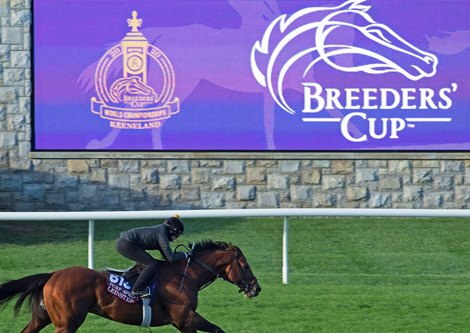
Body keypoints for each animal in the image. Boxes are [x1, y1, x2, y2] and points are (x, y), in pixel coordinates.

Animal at [0, 240, 260, 330]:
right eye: (246, 265)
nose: (256, 288)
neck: (185, 275)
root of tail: (53, 275)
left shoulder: (181, 322)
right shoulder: (185, 318)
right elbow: (217, 329)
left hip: (43, 317)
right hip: (67, 323)